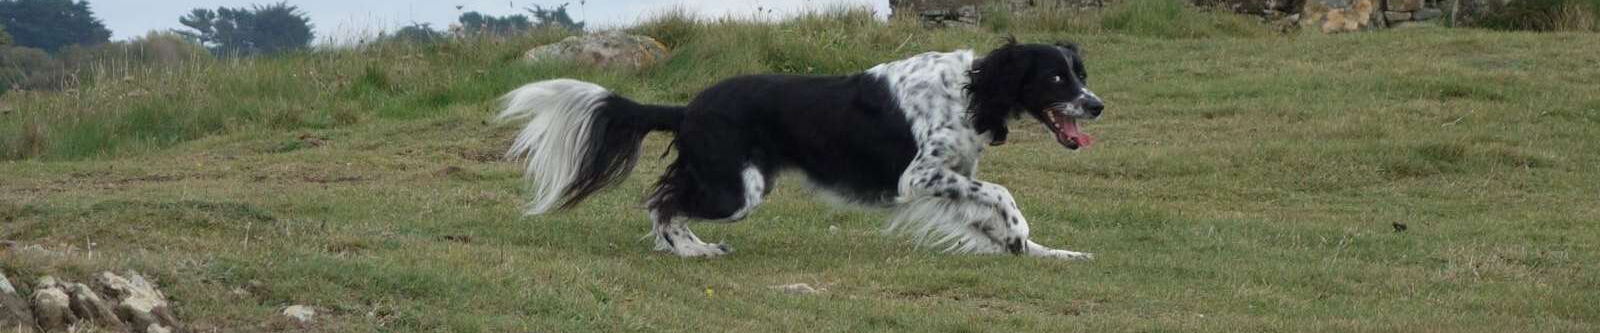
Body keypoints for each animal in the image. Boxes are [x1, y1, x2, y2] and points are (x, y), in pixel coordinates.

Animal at [496, 39, 1100, 259]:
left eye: (1080, 73)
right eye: (1055, 78)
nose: (1095, 106)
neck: (970, 90)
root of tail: (689, 108)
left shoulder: (950, 178)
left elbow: (990, 216)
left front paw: (1039, 250)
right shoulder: (919, 177)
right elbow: (1002, 194)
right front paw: (1018, 235)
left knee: (664, 201)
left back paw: (689, 246)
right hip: (738, 191)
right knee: (661, 203)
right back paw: (691, 250)